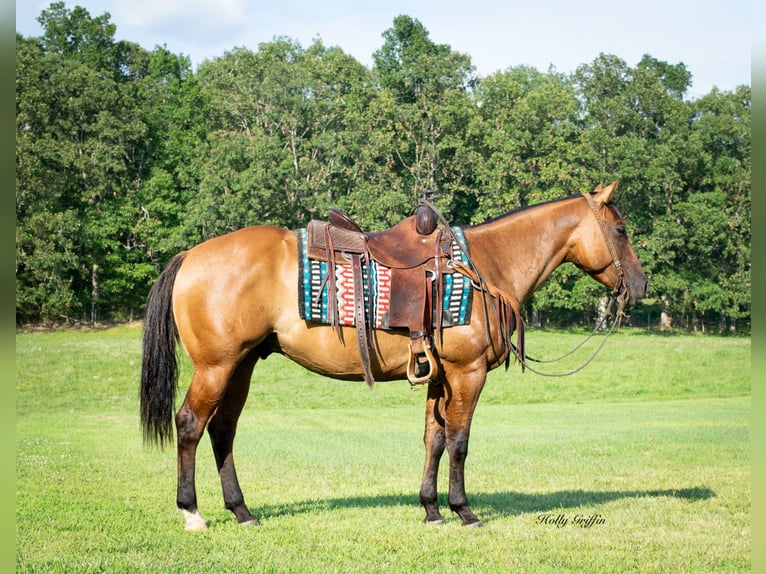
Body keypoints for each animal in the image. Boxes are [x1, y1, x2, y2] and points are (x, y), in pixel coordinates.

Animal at [138, 182, 648, 532]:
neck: (485, 264)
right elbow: (459, 442)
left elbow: (434, 440)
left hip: (241, 365)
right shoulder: (467, 373)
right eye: (621, 230)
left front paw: (431, 509)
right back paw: (193, 513)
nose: (641, 285)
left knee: (222, 431)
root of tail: (190, 255)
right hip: (216, 367)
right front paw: (464, 511)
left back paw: (241, 510)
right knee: (190, 425)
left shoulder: (440, 378)